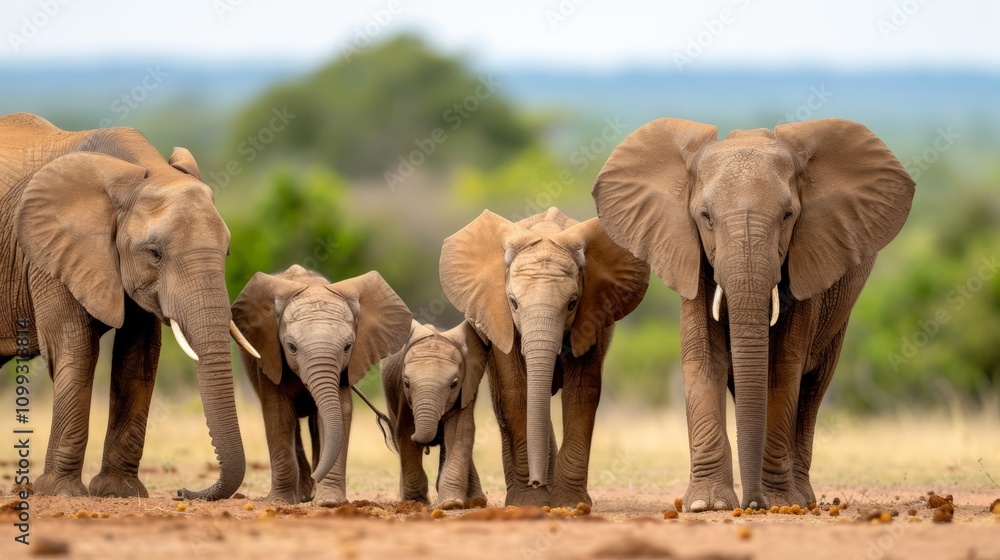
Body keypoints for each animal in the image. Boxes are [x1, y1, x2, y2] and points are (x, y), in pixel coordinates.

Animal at [0, 113, 259, 500]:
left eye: (226, 252)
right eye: (154, 253)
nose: (183, 491)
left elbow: (139, 355)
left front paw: (118, 492)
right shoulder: (46, 254)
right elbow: (74, 347)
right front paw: (60, 492)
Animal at [231, 265, 411, 505]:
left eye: (347, 347)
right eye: (291, 347)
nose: (318, 476)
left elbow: (340, 413)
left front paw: (328, 502)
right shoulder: (270, 356)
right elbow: (278, 414)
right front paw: (279, 502)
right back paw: (302, 494)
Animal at [380, 319, 488, 509]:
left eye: (453, 384)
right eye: (407, 383)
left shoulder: (466, 388)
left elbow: (460, 432)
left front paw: (451, 503)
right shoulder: (402, 395)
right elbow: (405, 432)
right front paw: (416, 501)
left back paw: (477, 500)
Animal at [439, 207, 650, 507]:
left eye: (572, 304)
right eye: (513, 303)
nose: (536, 481)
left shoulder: (593, 314)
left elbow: (582, 392)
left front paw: (570, 503)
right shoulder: (499, 316)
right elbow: (516, 391)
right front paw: (529, 502)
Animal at [592, 118, 915, 511]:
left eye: (788, 216)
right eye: (705, 217)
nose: (753, 505)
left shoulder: (810, 258)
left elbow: (782, 368)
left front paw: (779, 500)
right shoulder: (691, 257)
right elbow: (704, 359)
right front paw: (708, 505)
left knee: (814, 387)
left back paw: (803, 497)